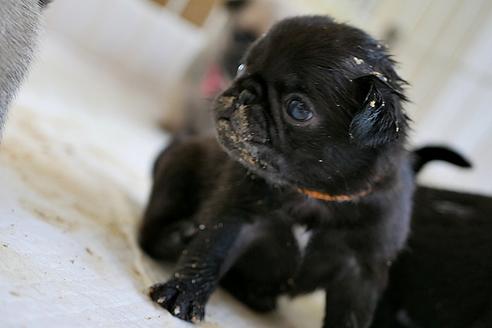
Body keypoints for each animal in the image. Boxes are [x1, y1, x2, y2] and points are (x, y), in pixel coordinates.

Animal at [140, 16, 414, 328]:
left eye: (297, 109)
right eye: (241, 68)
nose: (243, 93)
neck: (312, 193)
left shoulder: (361, 270)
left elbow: (351, 315)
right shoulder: (236, 218)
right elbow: (208, 252)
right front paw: (182, 294)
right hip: (178, 169)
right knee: (149, 232)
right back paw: (174, 238)